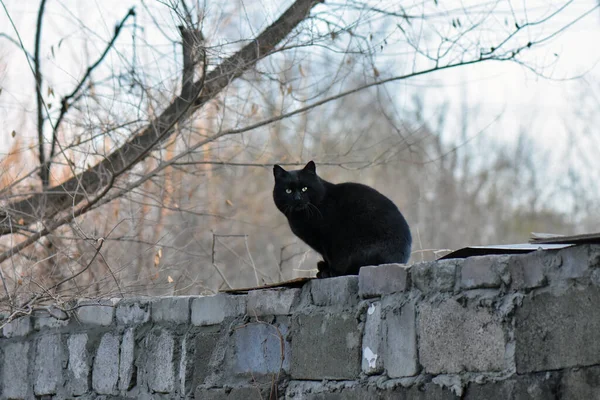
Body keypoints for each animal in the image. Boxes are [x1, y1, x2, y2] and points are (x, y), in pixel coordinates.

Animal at [274, 161, 410, 276]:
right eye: (288, 190)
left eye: (304, 188)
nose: (297, 198)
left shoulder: (328, 240)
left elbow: (331, 258)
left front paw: (328, 272)